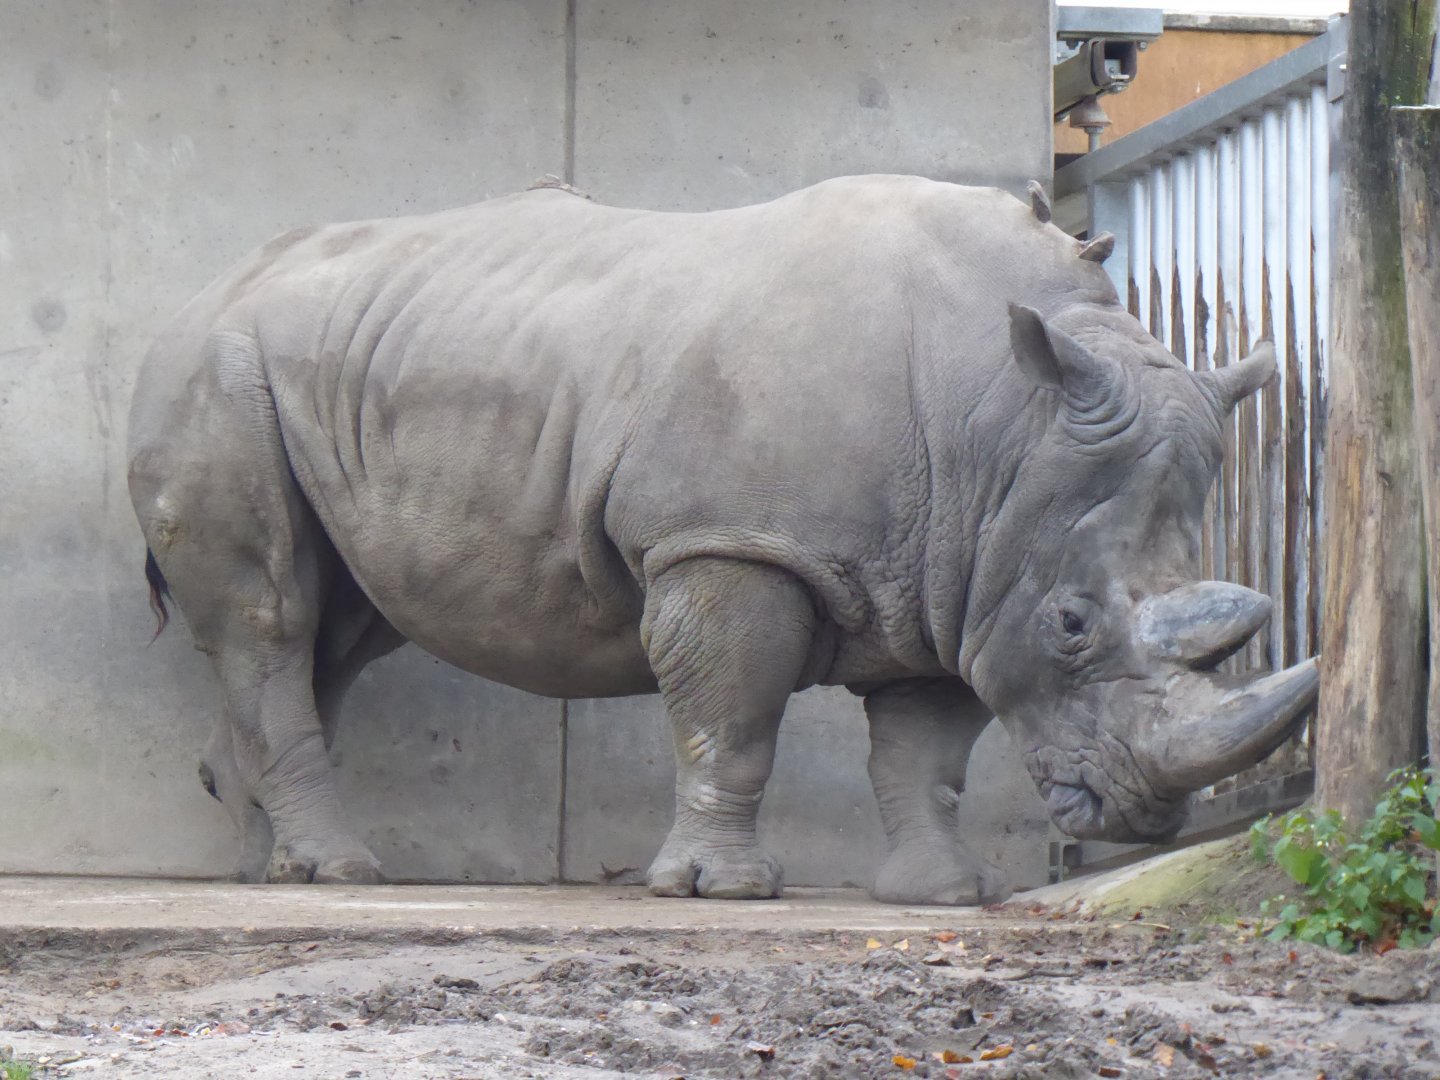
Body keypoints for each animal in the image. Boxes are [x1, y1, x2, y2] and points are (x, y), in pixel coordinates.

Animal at [127, 174, 1318, 905]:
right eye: (1072, 624)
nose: (1143, 816)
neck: (1001, 425)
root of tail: (204, 290)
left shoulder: (958, 574)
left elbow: (926, 752)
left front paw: (943, 893)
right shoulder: (734, 542)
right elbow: (731, 720)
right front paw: (718, 890)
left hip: (346, 362)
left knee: (339, 629)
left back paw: (271, 868)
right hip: (216, 371)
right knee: (274, 614)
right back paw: (339, 873)